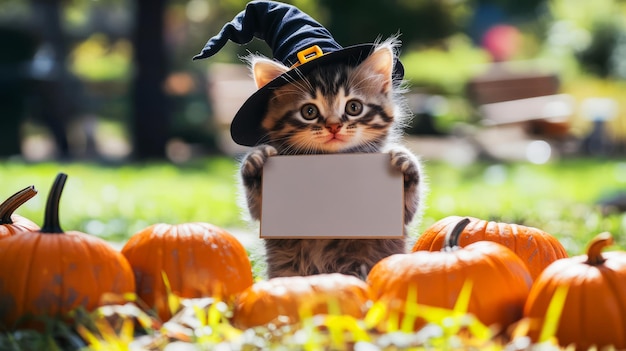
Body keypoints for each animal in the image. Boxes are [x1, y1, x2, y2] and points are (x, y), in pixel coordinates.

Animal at [239, 38, 424, 280]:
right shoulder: (263, 213)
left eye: (354, 107)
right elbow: (255, 205)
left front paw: (406, 161)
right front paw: (255, 160)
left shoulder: (401, 218)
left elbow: (409, 206)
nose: (334, 126)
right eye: (309, 111)